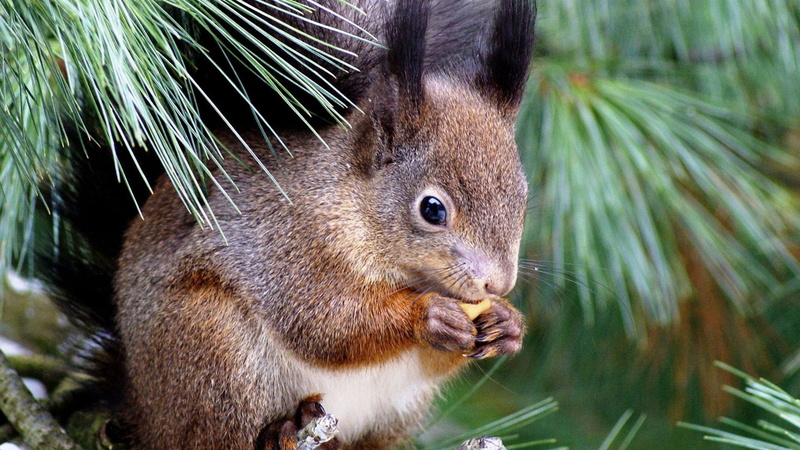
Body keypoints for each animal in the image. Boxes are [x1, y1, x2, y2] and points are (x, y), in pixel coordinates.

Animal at [40, 0, 537, 448]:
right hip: (213, 352)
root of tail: (140, 407)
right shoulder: (289, 245)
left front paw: (508, 325)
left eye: (523, 199)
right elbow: (325, 323)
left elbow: (432, 360)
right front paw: (428, 314)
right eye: (432, 209)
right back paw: (276, 433)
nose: (498, 284)